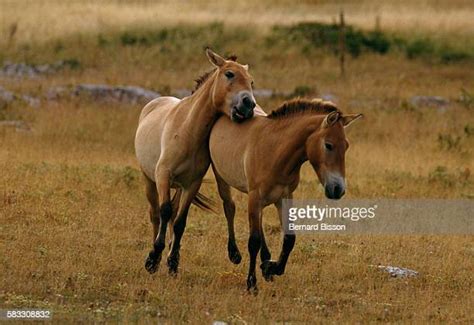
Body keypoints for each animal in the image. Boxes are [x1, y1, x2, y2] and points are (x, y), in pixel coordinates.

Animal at [133, 48, 260, 274]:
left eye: (251, 81)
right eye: (229, 74)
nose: (248, 105)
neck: (188, 131)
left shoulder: (192, 183)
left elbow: (180, 221)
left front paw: (173, 262)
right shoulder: (163, 175)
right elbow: (164, 211)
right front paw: (153, 257)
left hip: (178, 186)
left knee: (174, 213)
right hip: (149, 179)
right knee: (155, 213)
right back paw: (155, 257)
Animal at [209, 98, 362, 288]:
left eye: (346, 146)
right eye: (328, 145)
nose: (338, 190)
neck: (274, 151)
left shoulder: (284, 197)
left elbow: (289, 238)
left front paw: (271, 267)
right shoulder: (255, 197)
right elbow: (253, 241)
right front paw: (252, 283)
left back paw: (265, 261)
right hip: (222, 178)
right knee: (229, 208)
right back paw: (234, 253)